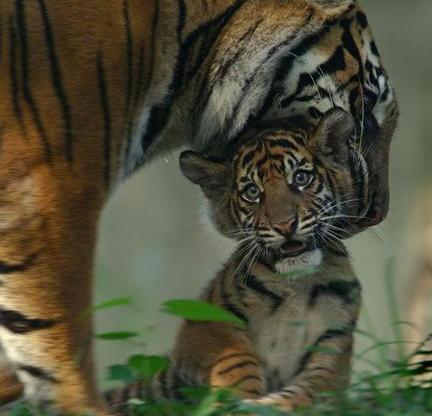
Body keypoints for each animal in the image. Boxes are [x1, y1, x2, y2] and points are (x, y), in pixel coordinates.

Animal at [106, 107, 364, 414]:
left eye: (301, 178)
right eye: (252, 192)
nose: (285, 225)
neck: (296, 285)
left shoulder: (333, 346)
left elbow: (307, 393)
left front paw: (267, 405)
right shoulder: (205, 322)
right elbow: (234, 361)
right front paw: (240, 400)